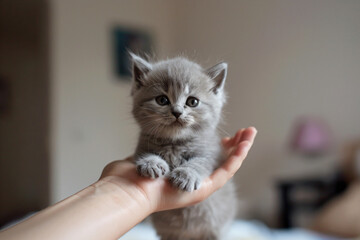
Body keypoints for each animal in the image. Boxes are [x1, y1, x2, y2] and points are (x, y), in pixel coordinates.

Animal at [131, 54, 238, 240]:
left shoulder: (211, 154)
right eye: (162, 100)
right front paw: (151, 164)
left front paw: (185, 175)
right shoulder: (141, 147)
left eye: (192, 101)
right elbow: (145, 154)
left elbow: (198, 163)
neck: (175, 142)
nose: (177, 112)